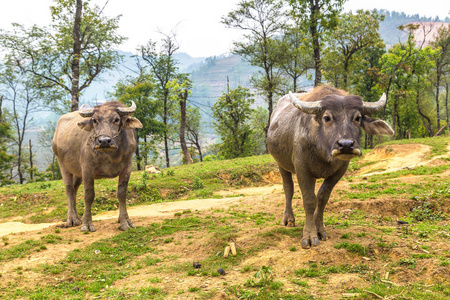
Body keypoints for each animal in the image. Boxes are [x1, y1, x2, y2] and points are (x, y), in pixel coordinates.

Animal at [52, 101, 144, 232]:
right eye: (94, 120)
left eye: (116, 119)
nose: (104, 141)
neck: (110, 154)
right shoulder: (87, 168)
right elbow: (89, 196)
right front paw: (87, 224)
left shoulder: (128, 167)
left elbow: (122, 193)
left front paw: (125, 221)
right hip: (62, 164)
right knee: (69, 189)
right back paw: (72, 219)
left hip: (77, 172)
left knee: (74, 188)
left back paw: (77, 217)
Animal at [268, 86, 394, 248]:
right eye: (327, 118)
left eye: (358, 118)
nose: (346, 145)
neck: (323, 152)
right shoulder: (302, 169)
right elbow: (309, 200)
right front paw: (309, 236)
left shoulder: (340, 170)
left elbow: (322, 198)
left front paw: (319, 229)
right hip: (281, 165)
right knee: (288, 189)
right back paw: (288, 219)